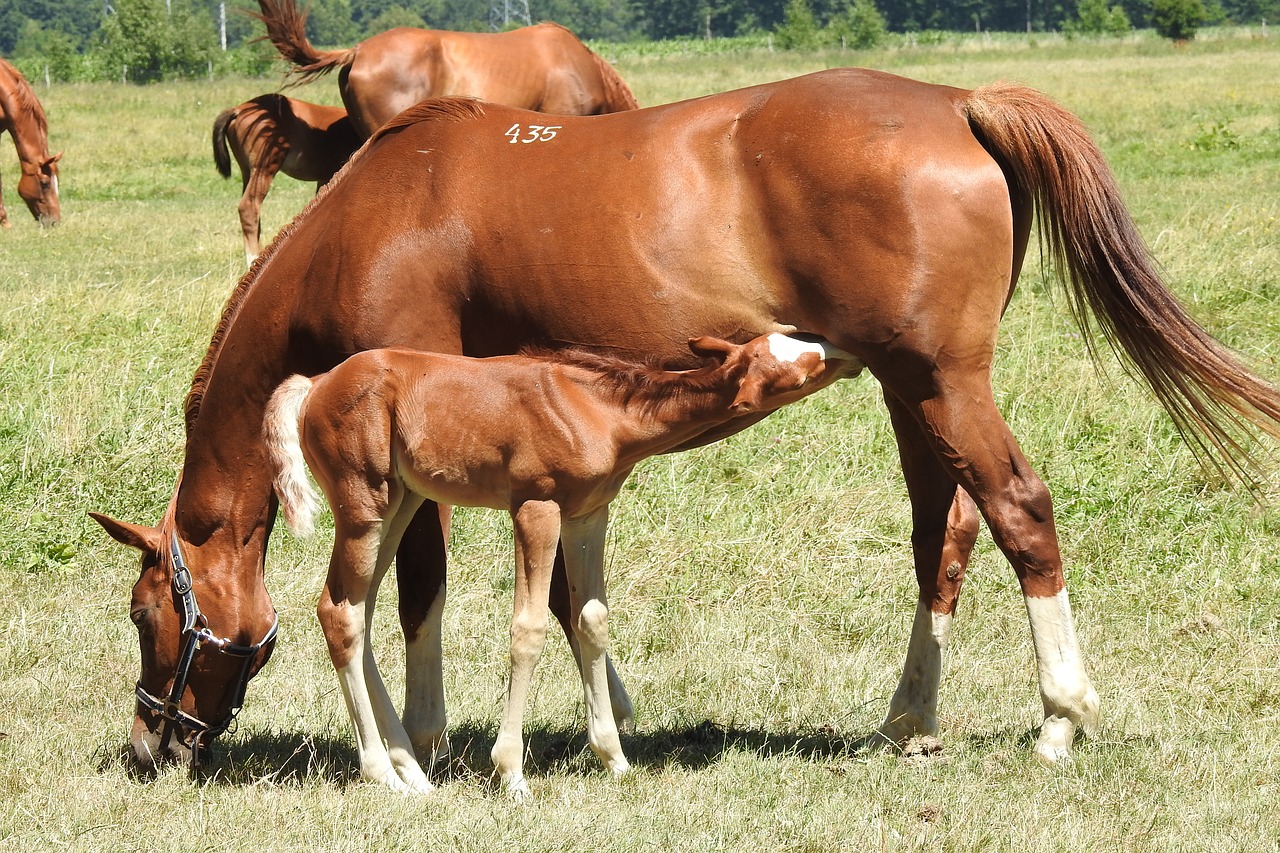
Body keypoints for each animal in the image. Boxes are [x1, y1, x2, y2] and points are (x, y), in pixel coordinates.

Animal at [263, 330, 855, 799]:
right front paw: (511, 774)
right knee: (340, 611)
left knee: (357, 610)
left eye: (796, 341)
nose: (844, 348)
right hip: (364, 505)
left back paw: (412, 769)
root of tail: (316, 383)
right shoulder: (537, 507)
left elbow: (590, 619)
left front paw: (616, 760)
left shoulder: (588, 514)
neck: (597, 409)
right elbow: (528, 629)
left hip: (402, 502)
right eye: (800, 364)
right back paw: (383, 772)